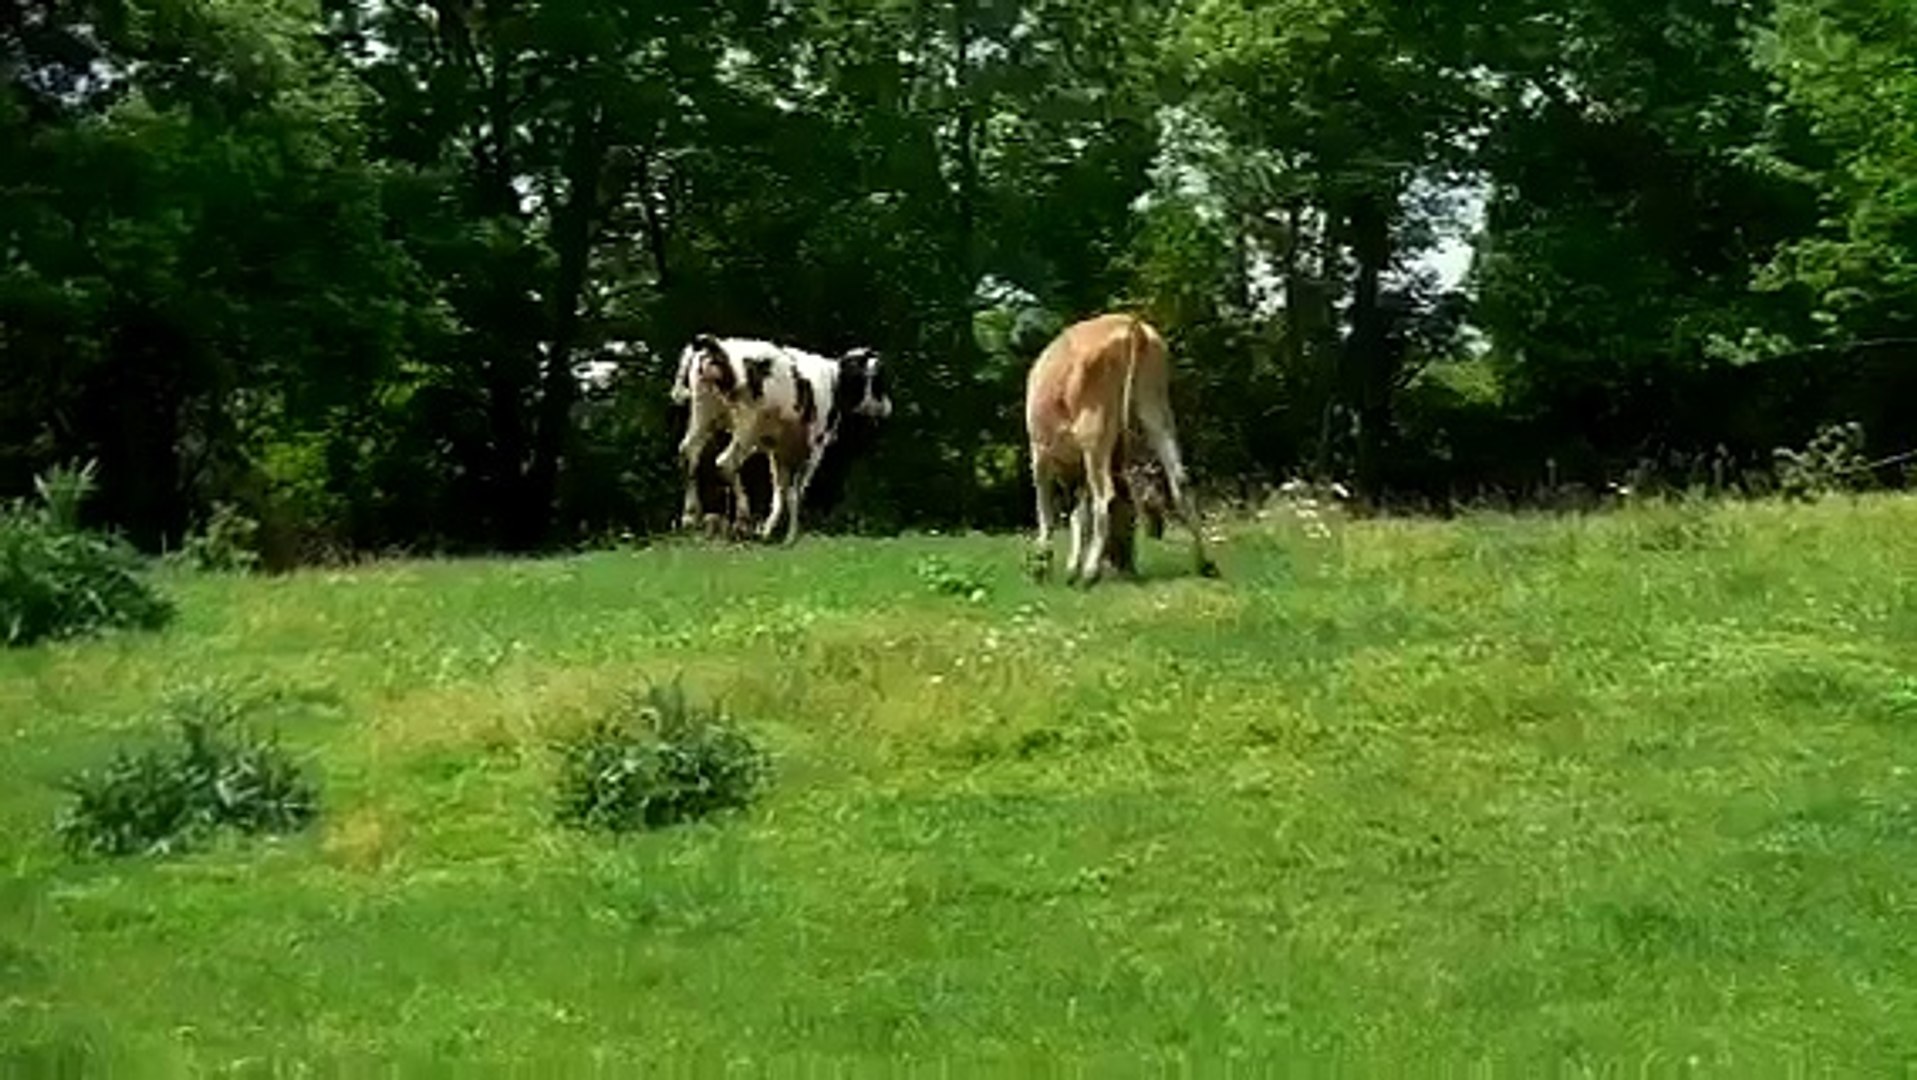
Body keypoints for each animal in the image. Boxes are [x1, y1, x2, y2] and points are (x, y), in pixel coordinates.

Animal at [670, 333, 891, 543]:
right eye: (878, 380)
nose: (889, 407)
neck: (833, 380)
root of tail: (720, 348)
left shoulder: (779, 451)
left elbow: (780, 491)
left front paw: (768, 531)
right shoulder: (814, 447)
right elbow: (797, 490)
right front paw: (791, 535)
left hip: (703, 416)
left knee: (688, 453)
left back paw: (690, 516)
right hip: (747, 425)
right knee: (725, 462)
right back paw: (742, 520)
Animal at [1024, 313, 1215, 585]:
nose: (1124, 565)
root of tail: (1130, 323)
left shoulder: (1040, 454)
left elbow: (1049, 513)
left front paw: (1044, 563)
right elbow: (1079, 515)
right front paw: (1070, 566)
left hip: (1094, 433)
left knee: (1105, 497)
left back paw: (1090, 572)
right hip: (1156, 410)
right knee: (1181, 481)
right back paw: (1203, 563)